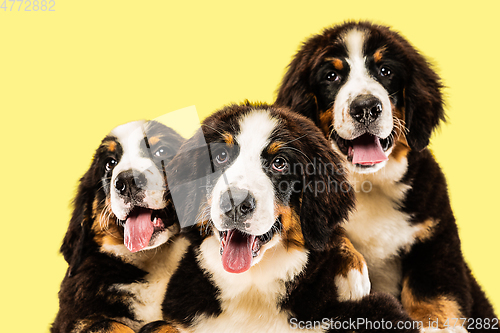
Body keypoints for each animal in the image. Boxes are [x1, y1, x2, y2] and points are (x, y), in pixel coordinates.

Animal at [51, 119, 189, 332]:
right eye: (110, 164)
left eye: (161, 151)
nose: (128, 181)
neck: (154, 262)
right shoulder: (74, 319)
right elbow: (108, 323)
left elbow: (165, 325)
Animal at [142, 102, 422, 332]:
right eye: (221, 156)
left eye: (279, 163)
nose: (235, 202)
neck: (251, 287)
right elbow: (157, 326)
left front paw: (351, 272)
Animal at [276, 20, 498, 330]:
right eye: (331, 75)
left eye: (386, 72)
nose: (366, 107)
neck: (369, 185)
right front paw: (351, 271)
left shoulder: (437, 234)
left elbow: (433, 296)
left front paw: (440, 326)